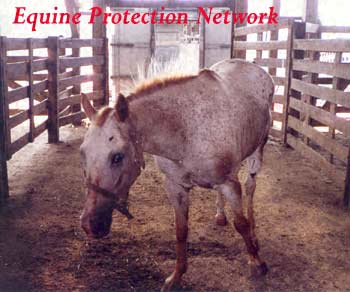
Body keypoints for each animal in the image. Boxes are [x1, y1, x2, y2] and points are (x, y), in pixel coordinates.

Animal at [78, 58, 274, 290]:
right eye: (82, 153)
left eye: (117, 157)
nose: (90, 225)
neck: (184, 132)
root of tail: (255, 67)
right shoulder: (176, 186)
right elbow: (181, 231)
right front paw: (176, 276)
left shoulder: (228, 183)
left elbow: (241, 224)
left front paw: (256, 262)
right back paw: (220, 215)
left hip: (257, 152)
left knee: (250, 188)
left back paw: (254, 235)